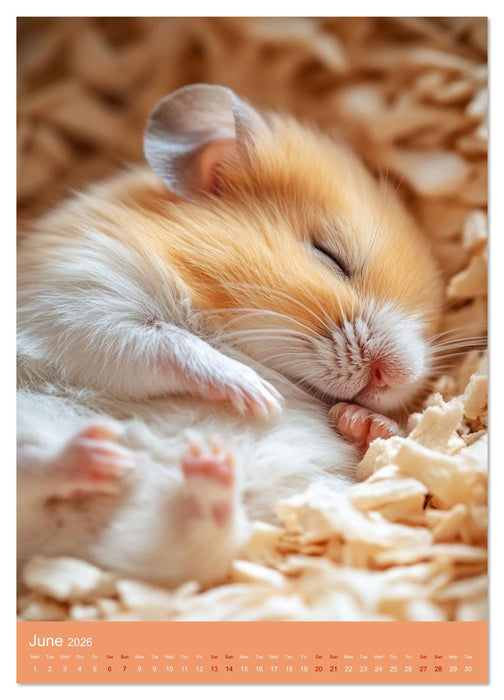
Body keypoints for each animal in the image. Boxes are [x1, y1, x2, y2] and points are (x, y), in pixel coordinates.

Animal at [17, 84, 443, 589]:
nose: (396, 376)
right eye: (330, 256)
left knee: (195, 542)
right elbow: (167, 345)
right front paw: (256, 394)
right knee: (28, 469)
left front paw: (362, 420)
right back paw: (94, 453)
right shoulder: (82, 304)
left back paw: (203, 471)